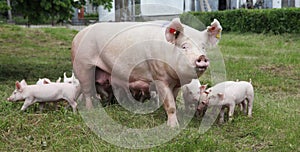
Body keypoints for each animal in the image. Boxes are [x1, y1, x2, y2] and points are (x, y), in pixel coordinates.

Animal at [71, 17, 221, 127]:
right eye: (184, 46)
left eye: (203, 47)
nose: (202, 57)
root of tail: (79, 34)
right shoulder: (159, 77)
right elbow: (170, 104)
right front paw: (173, 127)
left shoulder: (176, 84)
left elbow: (172, 100)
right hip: (82, 65)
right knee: (87, 91)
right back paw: (90, 110)